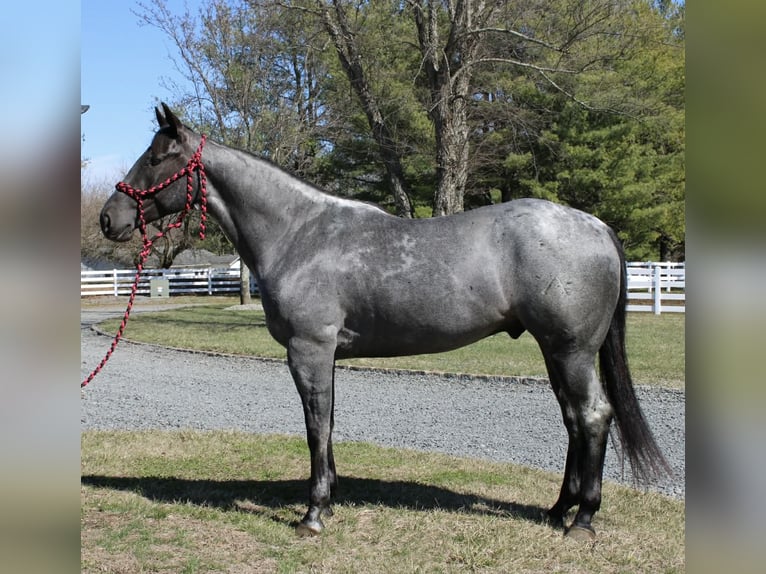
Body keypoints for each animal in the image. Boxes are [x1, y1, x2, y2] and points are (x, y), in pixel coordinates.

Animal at [100, 103, 669, 539]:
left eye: (157, 157)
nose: (109, 219)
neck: (299, 232)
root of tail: (596, 226)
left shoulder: (308, 350)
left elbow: (316, 426)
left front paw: (313, 513)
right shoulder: (325, 355)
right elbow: (327, 423)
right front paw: (329, 500)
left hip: (571, 350)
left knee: (593, 416)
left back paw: (583, 520)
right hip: (554, 350)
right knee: (574, 419)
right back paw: (558, 510)